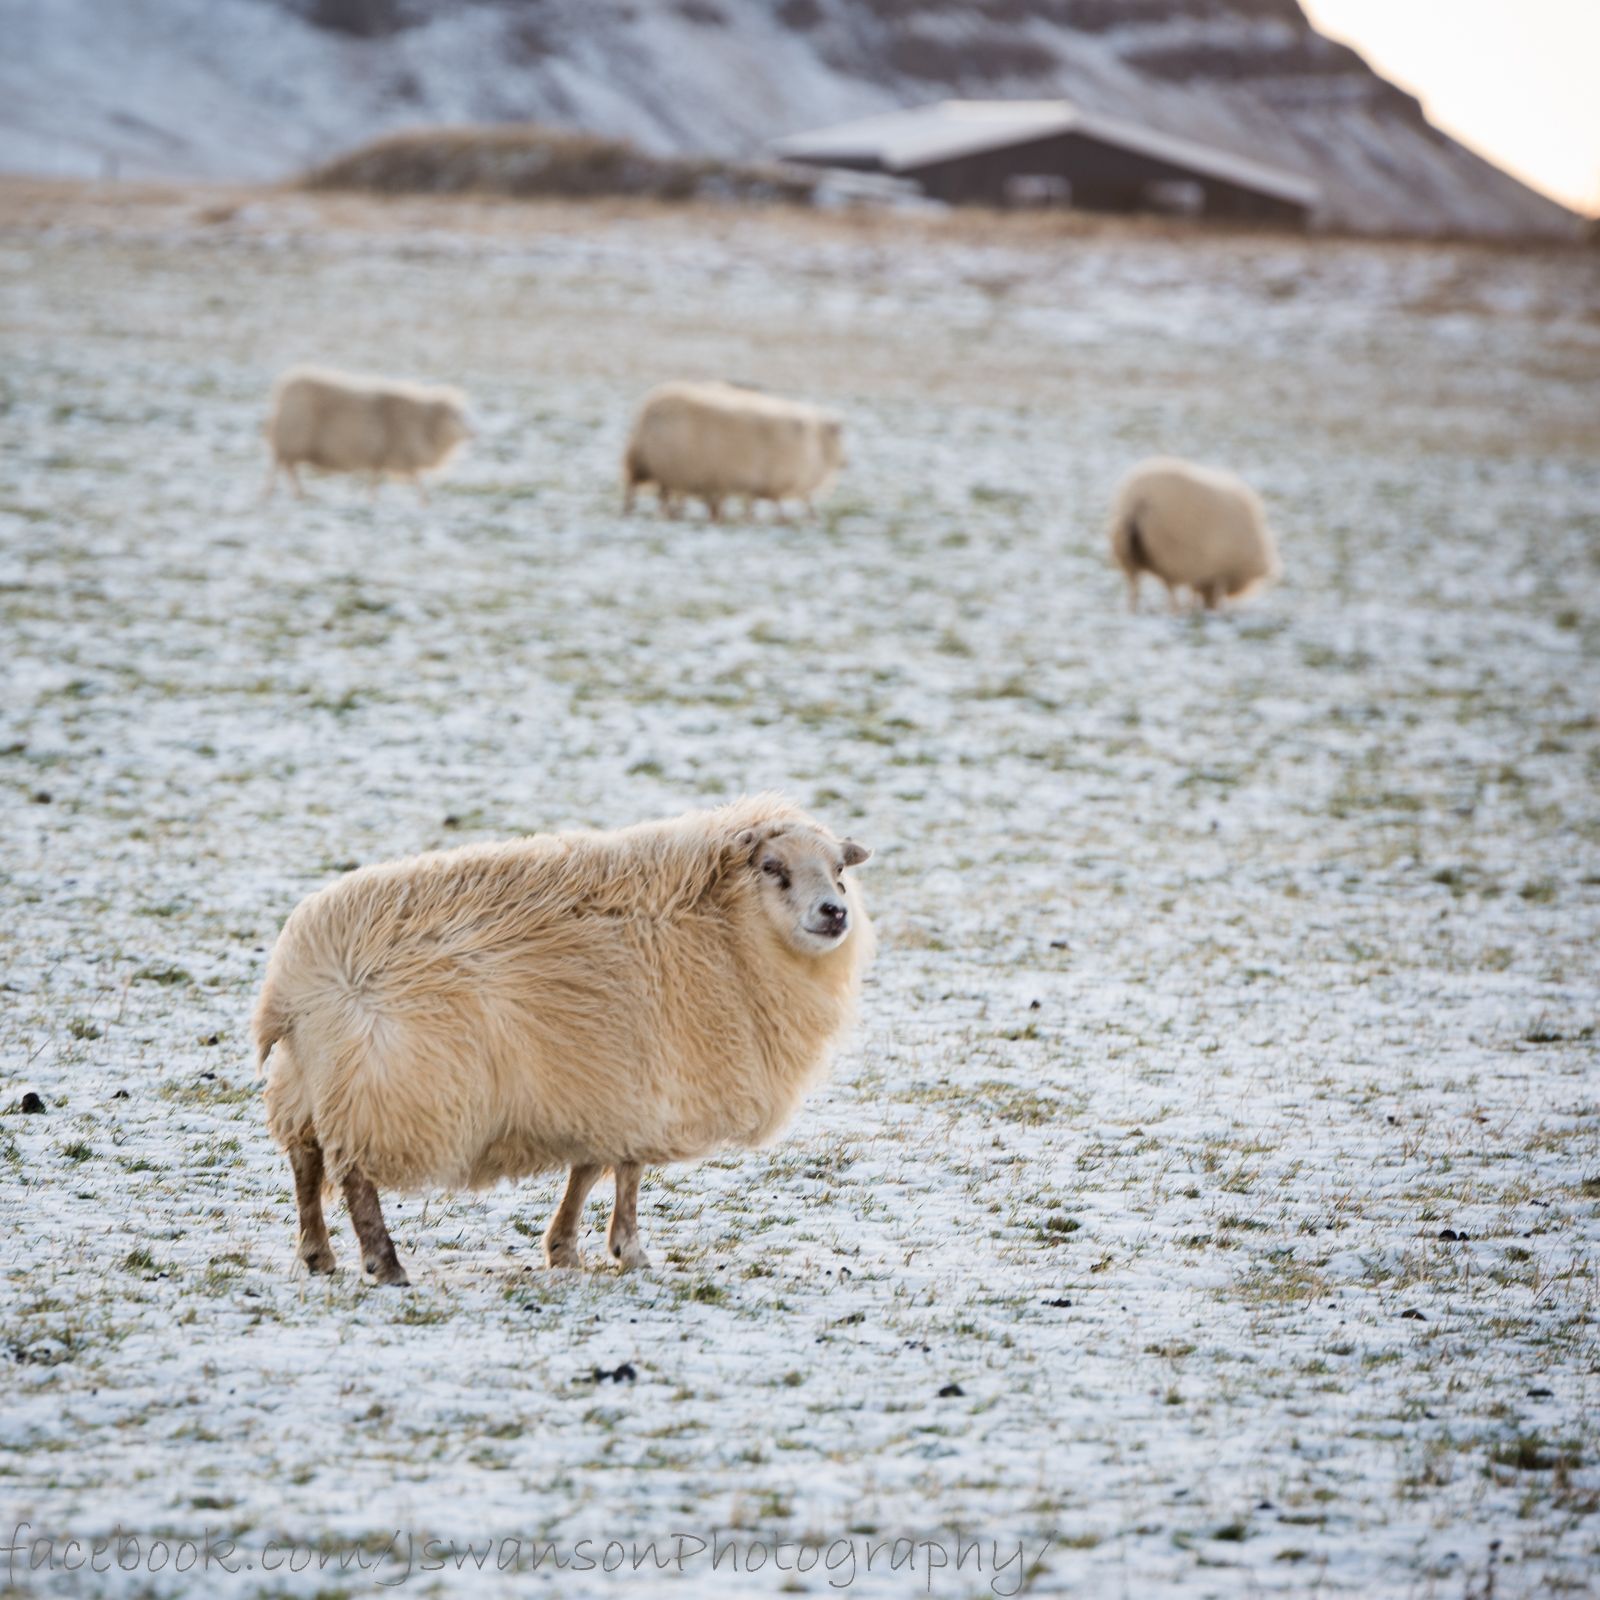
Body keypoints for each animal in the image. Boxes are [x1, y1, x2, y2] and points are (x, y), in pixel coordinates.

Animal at [251, 796, 876, 1286]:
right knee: (354, 1175)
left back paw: (318, 1254)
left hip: (309, 1082)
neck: (723, 930)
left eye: (839, 870)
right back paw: (385, 1263)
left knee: (305, 1161)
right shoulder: (640, 1082)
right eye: (772, 866)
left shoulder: (604, 1088)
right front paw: (628, 1251)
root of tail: (294, 978)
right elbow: (623, 1172)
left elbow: (592, 1168)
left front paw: (566, 1249)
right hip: (386, 1087)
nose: (835, 912)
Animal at [262, 366, 470, 499]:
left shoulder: (384, 458)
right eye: (455, 416)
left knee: (287, 468)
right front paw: (424, 501)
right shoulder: (396, 455)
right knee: (280, 466)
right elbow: (413, 482)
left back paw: (297, 493)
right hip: (290, 440)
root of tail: (283, 389)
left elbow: (382, 480)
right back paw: (275, 493)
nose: (472, 433)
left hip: (291, 444)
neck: (424, 422)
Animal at [620, 380, 844, 518]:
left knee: (662, 496)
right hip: (653, 467)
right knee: (640, 494)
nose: (845, 463)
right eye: (837, 438)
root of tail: (645, 411)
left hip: (664, 470)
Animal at [1107, 464, 1280, 617]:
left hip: (1130, 554)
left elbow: (1195, 591)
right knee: (1169, 590)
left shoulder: (1202, 568)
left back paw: (1134, 610)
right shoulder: (1218, 569)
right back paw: (1175, 611)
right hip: (1166, 552)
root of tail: (1138, 499)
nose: (1209, 607)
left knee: (1134, 589)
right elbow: (1215, 591)